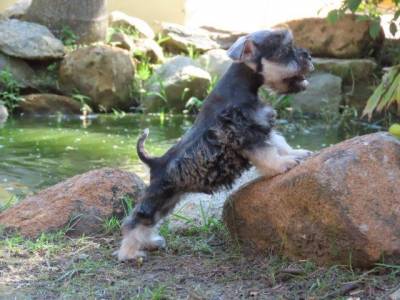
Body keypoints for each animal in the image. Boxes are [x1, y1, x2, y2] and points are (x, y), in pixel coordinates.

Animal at [117, 28, 314, 262]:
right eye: (285, 50)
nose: (310, 56)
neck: (242, 88)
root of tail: (154, 162)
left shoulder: (262, 127)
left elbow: (279, 143)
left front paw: (296, 153)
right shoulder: (245, 135)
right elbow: (267, 154)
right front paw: (284, 164)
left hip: (169, 200)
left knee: (148, 223)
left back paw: (149, 243)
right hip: (157, 198)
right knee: (135, 221)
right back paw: (129, 254)